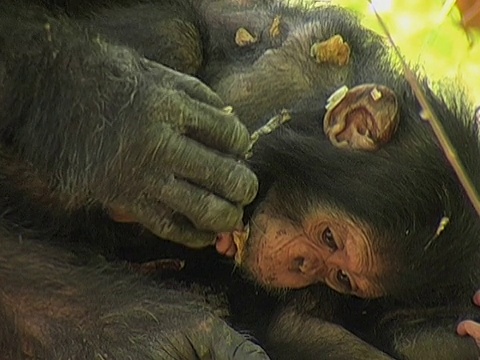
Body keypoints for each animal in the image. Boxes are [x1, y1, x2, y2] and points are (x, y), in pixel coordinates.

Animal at [0, 0, 480, 360]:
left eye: (342, 276)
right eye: (329, 237)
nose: (300, 266)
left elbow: (296, 326)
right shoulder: (274, 79)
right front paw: (138, 137)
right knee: (176, 34)